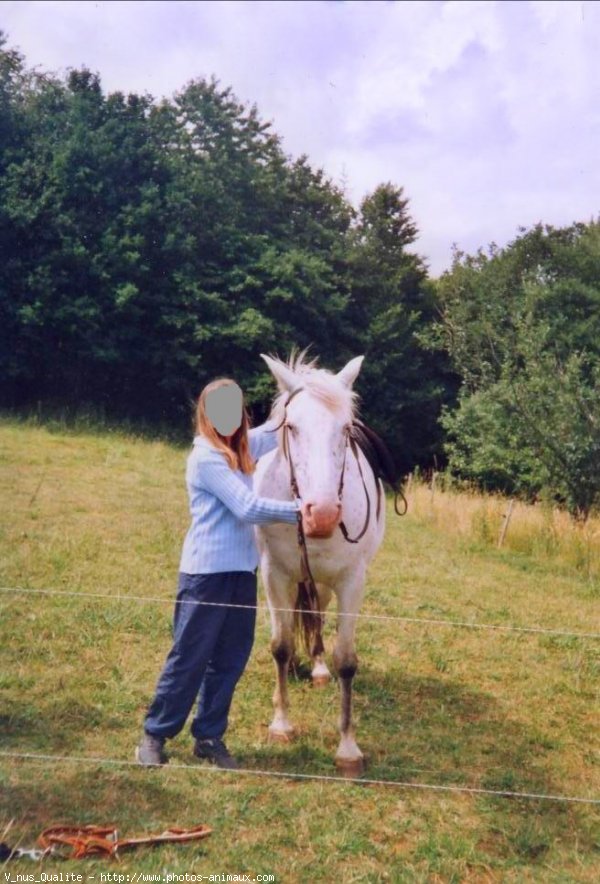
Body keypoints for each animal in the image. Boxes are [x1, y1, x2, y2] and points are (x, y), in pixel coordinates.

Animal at [252, 348, 384, 772]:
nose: (322, 515)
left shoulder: (351, 581)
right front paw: (281, 725)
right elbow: (279, 645)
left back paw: (318, 667)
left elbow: (347, 660)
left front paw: (348, 747)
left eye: (346, 430)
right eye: (292, 427)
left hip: (323, 584)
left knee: (318, 615)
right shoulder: (275, 574)